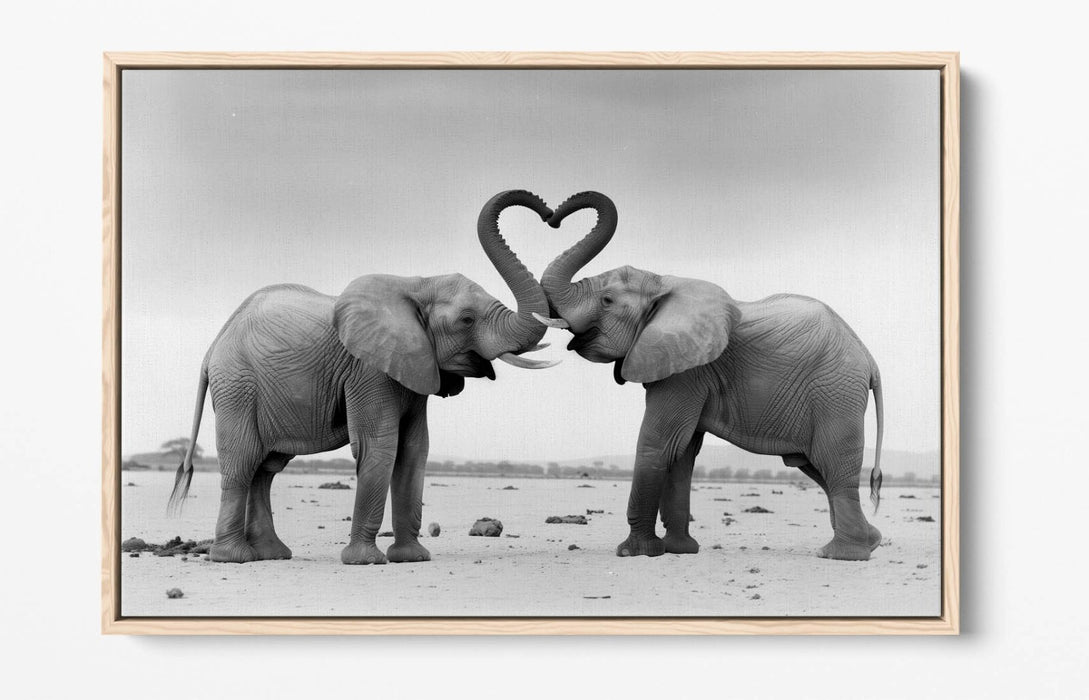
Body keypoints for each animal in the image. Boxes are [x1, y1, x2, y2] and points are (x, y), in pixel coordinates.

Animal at [167, 189, 558, 565]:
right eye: (466, 320)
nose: (548, 213)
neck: (416, 283)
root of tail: (214, 345)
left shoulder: (414, 367)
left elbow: (414, 450)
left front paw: (412, 558)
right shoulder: (369, 369)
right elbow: (379, 446)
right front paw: (365, 561)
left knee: (267, 467)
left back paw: (271, 554)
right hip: (237, 384)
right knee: (243, 461)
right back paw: (233, 558)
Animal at [535, 191, 885, 561]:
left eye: (607, 300)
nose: (552, 215)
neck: (662, 283)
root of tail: (869, 359)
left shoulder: (688, 373)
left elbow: (658, 443)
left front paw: (637, 552)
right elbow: (682, 452)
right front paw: (679, 550)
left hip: (836, 391)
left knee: (834, 465)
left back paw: (841, 554)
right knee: (817, 468)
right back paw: (870, 542)